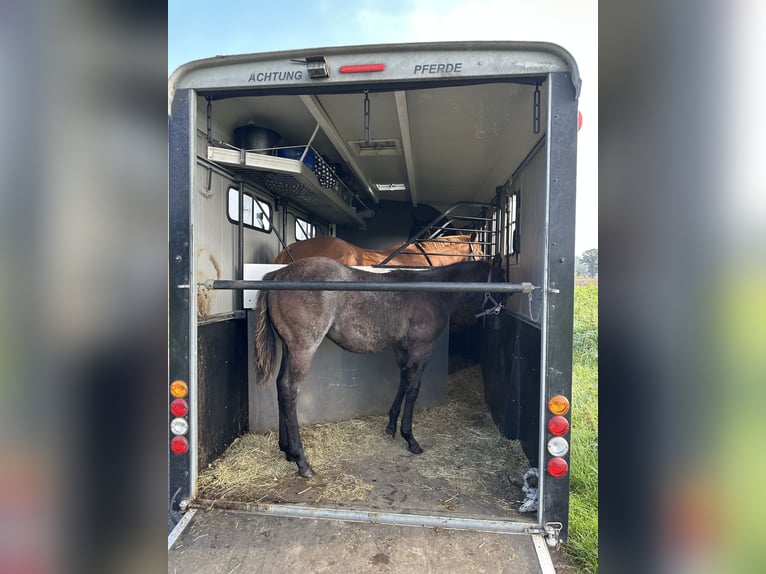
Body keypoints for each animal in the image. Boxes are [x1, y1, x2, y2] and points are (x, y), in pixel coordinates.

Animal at [254, 256, 505, 478]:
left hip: (289, 348)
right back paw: (302, 461)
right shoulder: (421, 349)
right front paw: (410, 438)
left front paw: (392, 426)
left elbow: (403, 381)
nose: (499, 316)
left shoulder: (402, 349)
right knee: (289, 391)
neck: (432, 293)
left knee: (280, 386)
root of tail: (278, 275)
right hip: (303, 349)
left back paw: (287, 450)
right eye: (502, 281)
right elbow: (413, 390)